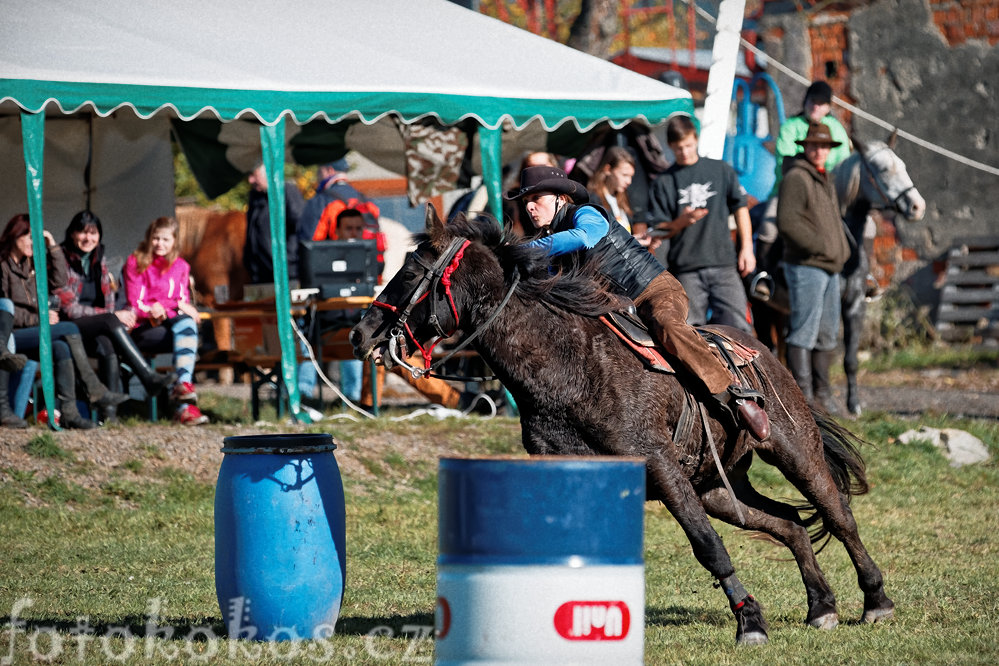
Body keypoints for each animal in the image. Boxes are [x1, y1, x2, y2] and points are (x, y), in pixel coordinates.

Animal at [352, 206, 900, 644]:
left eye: (412, 271)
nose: (360, 334)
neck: (569, 364)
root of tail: (761, 349)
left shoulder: (658, 464)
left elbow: (707, 546)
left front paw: (750, 623)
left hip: (791, 449)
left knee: (837, 515)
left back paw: (875, 602)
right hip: (717, 486)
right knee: (789, 523)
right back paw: (821, 607)